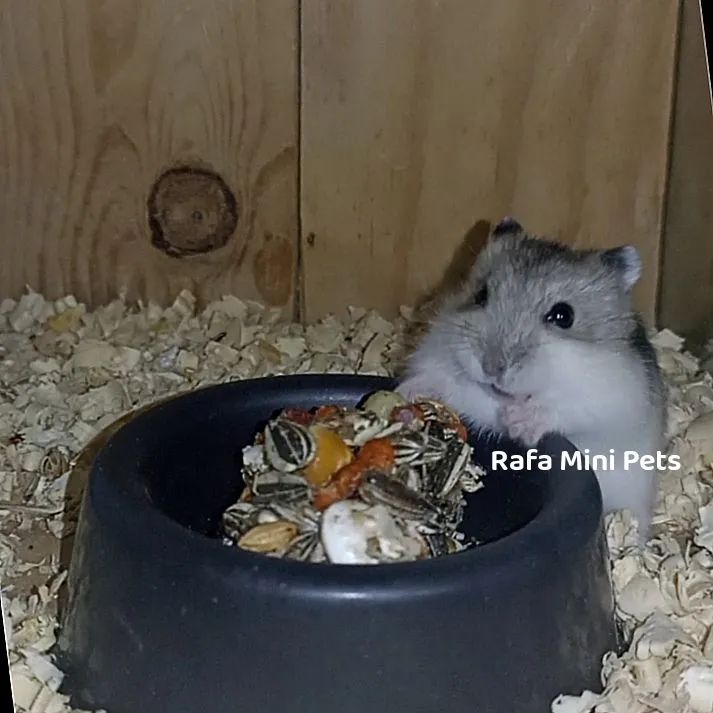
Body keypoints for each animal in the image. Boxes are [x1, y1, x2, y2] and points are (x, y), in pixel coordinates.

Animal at [397, 218, 666, 543]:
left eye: (563, 315)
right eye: (481, 295)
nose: (492, 367)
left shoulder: (612, 402)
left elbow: (563, 410)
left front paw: (518, 422)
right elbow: (443, 382)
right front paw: (407, 394)